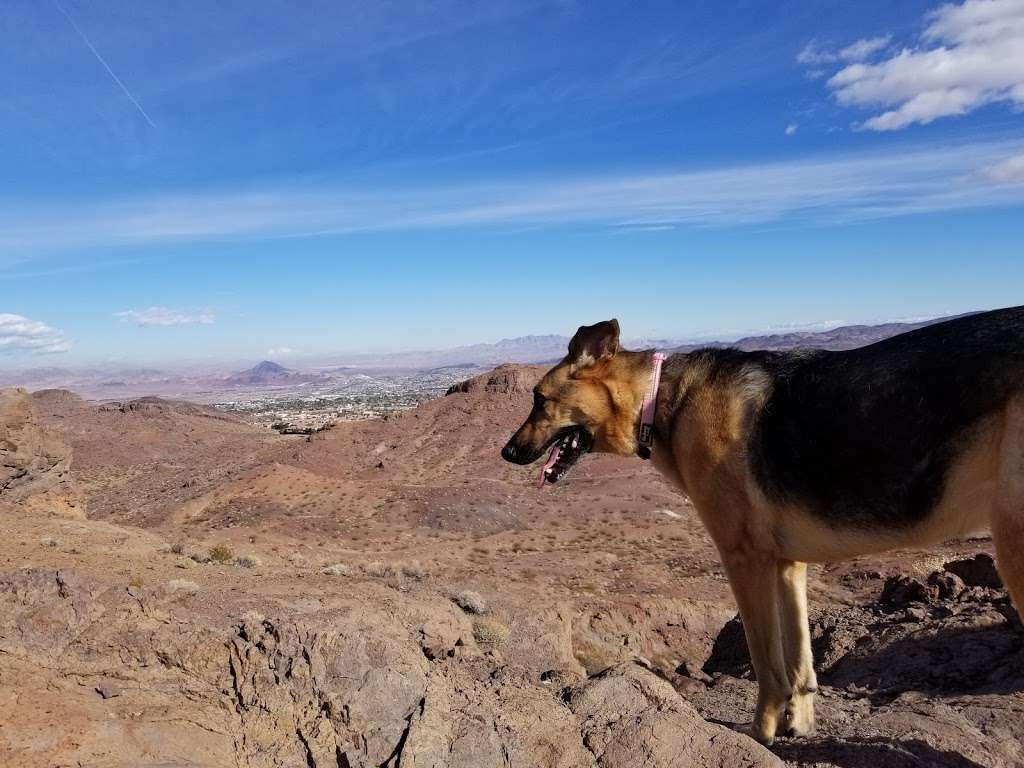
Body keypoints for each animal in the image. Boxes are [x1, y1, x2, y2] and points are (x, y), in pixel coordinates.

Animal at [501, 305, 1024, 745]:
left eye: (539, 399)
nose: (506, 452)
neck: (662, 399)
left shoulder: (744, 558)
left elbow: (767, 663)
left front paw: (762, 732)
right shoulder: (788, 564)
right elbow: (801, 664)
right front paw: (799, 726)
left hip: (1013, 544)